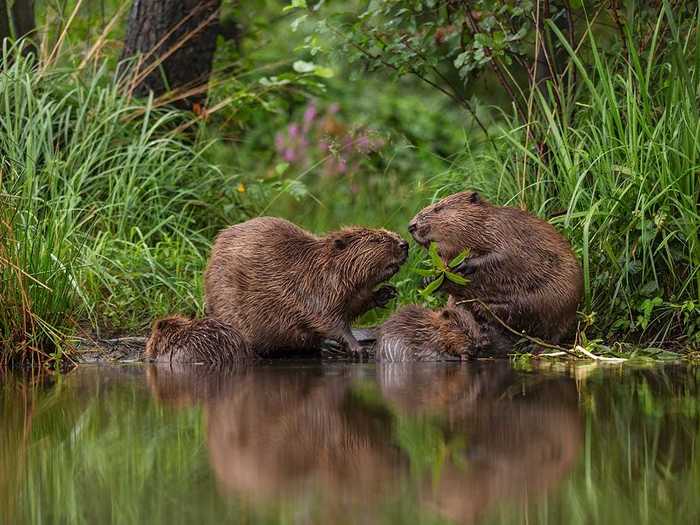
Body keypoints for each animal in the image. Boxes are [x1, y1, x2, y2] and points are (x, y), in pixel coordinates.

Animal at [204, 215, 410, 354]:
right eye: (376, 240)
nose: (404, 244)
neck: (319, 266)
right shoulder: (313, 289)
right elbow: (329, 321)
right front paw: (357, 348)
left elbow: (355, 305)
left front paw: (386, 292)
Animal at [408, 190, 584, 346]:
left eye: (438, 208)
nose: (411, 226)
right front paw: (429, 279)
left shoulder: (504, 230)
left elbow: (503, 255)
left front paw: (463, 265)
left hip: (555, 302)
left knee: (550, 332)